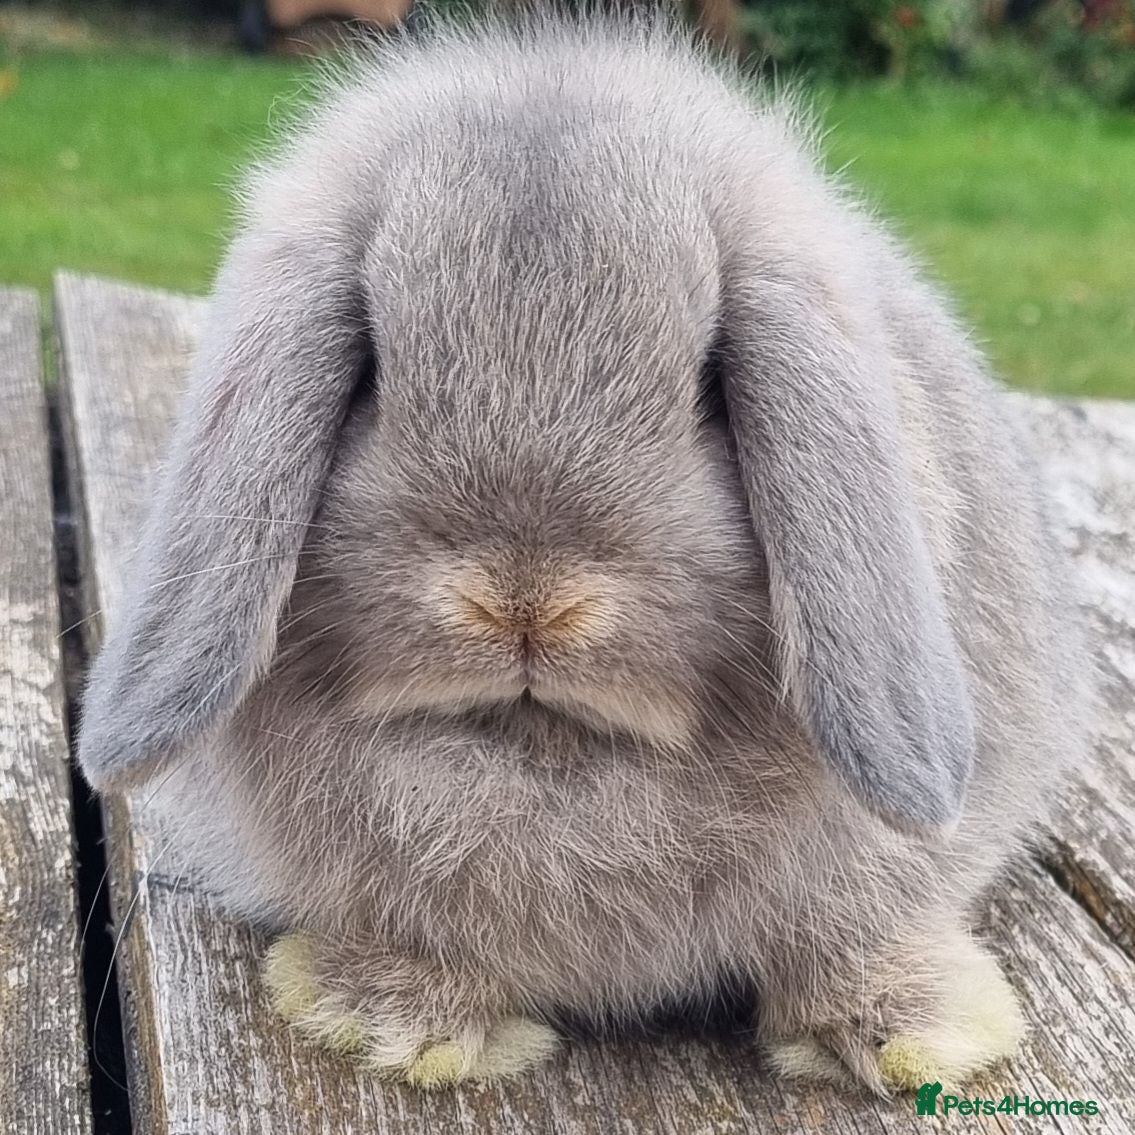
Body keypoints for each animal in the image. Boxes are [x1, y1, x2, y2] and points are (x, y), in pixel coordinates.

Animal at [77, 12, 1089, 1095]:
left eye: (707, 383)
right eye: (373, 371)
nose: (525, 604)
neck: (549, 767)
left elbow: (856, 939)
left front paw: (916, 1035)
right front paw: (396, 1024)